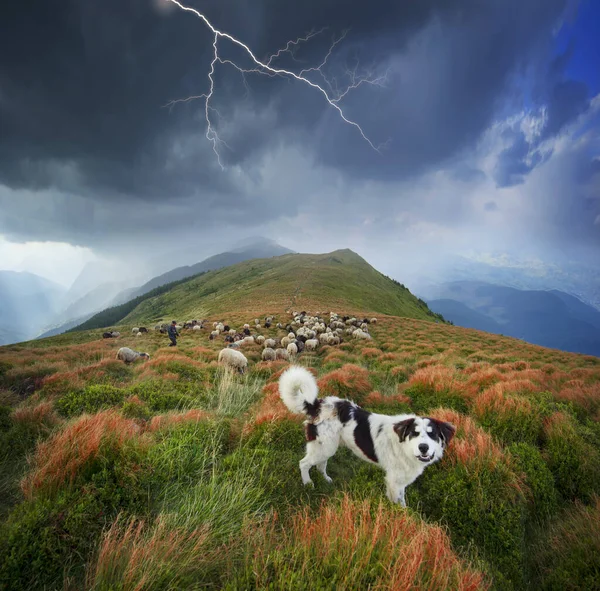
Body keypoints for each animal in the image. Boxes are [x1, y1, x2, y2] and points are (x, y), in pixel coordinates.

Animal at [278, 368, 458, 506]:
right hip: (324, 447)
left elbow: (403, 502)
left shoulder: (400, 481)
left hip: (327, 447)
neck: (403, 446)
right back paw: (308, 483)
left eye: (432, 434)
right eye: (414, 433)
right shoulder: (394, 481)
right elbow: (399, 506)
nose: (423, 447)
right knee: (304, 463)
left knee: (321, 465)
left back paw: (326, 480)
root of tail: (317, 405)